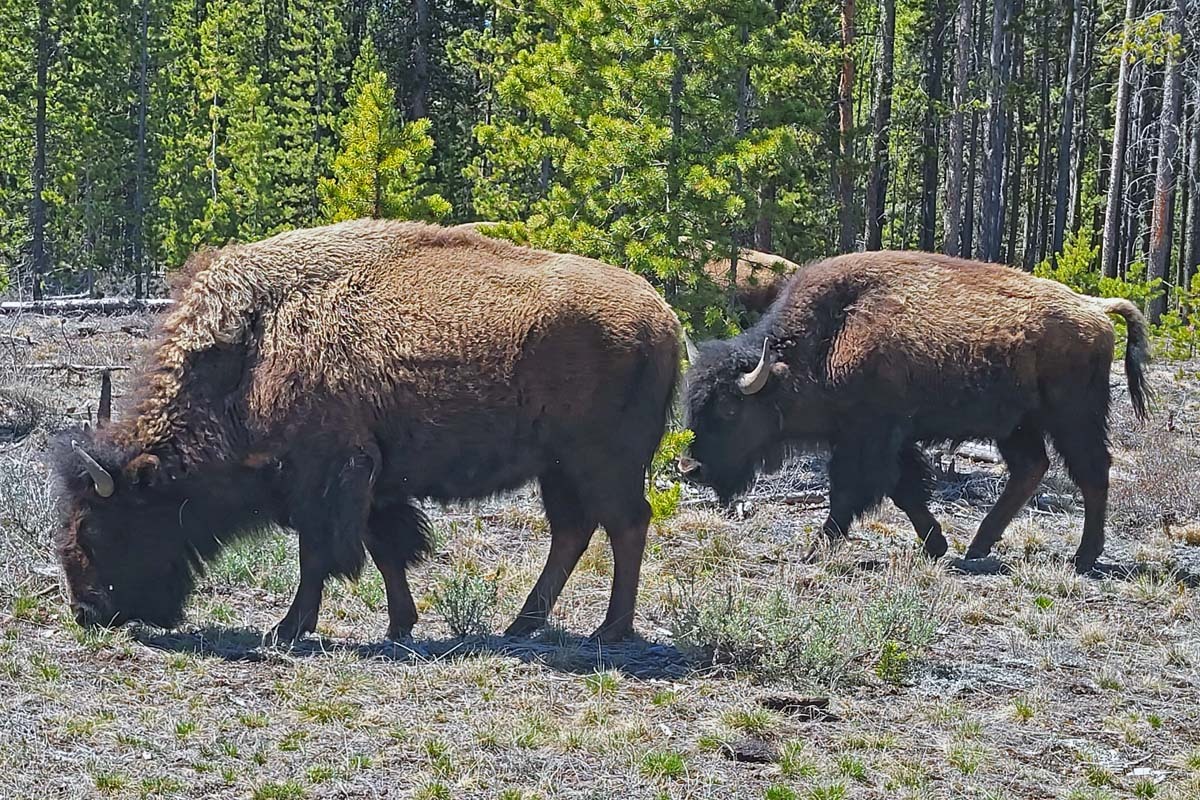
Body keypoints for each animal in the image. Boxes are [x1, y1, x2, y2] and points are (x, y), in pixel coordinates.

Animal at [54, 219, 680, 643]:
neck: (252, 352)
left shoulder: (326, 476)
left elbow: (318, 556)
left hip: (601, 462)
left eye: (97, 530)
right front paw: (400, 624)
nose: (87, 613)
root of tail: (663, 316)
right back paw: (520, 625)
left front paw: (287, 628)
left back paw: (609, 630)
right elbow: (385, 550)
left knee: (625, 524)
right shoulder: (371, 482)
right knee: (574, 531)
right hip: (559, 469)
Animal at [681, 250, 1150, 573]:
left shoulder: (869, 438)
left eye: (729, 409)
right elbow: (904, 490)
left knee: (1091, 472)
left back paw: (1083, 558)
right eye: (692, 403)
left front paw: (815, 549)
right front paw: (936, 544)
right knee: (1031, 468)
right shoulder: (887, 440)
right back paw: (977, 547)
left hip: (1073, 416)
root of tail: (1094, 308)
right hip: (1016, 426)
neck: (828, 338)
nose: (690, 469)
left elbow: (852, 491)